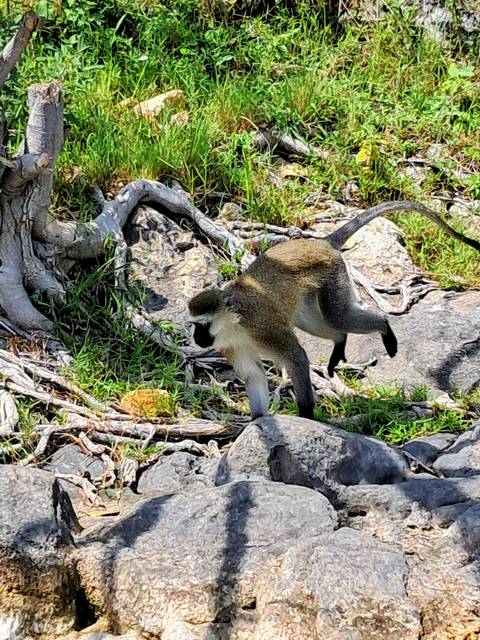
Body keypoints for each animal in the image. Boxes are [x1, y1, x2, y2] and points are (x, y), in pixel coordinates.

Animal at [188, 200, 480, 420]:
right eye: (195, 325)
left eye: (203, 325)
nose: (197, 339)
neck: (235, 324)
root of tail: (321, 242)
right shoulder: (232, 345)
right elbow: (253, 375)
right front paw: (257, 420)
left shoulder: (262, 326)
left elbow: (297, 357)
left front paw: (306, 416)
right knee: (318, 323)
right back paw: (340, 341)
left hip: (335, 276)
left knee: (338, 316)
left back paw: (384, 327)